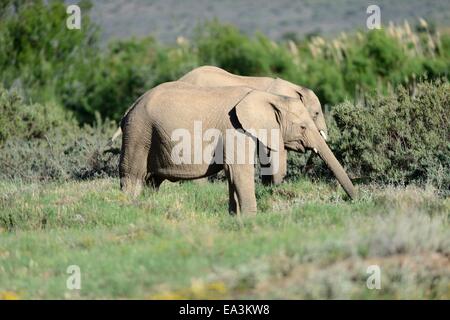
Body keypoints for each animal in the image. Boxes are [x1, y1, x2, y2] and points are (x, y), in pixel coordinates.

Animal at [118, 81, 356, 214]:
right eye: (303, 126)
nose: (355, 200)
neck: (267, 96)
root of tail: (129, 108)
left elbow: (234, 174)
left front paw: (236, 218)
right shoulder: (235, 129)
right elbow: (239, 170)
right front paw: (251, 219)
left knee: (152, 182)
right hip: (139, 133)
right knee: (133, 177)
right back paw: (130, 208)